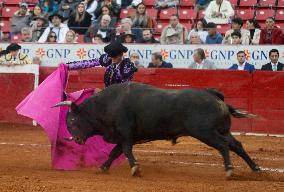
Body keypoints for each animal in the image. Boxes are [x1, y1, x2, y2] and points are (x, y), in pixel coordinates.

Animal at [53, 82, 260, 177]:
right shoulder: (122, 136)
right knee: (236, 145)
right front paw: (102, 168)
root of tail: (213, 94)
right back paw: (256, 168)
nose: (76, 139)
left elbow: (125, 151)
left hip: (205, 133)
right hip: (222, 130)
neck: (108, 104)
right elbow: (114, 153)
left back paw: (229, 170)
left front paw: (135, 168)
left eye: (72, 119)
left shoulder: (125, 134)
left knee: (223, 146)